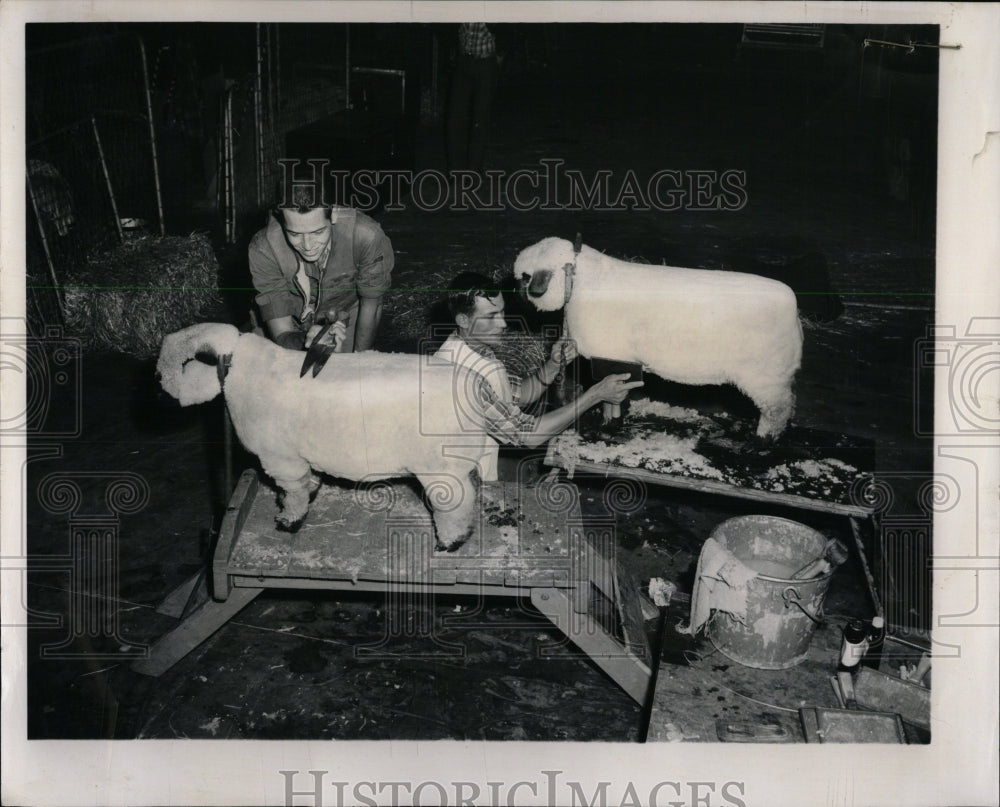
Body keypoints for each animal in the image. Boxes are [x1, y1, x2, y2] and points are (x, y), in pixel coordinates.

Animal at [155, 322, 492, 548]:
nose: (158, 382)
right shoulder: (300, 455)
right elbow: (305, 482)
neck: (242, 371)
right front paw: (308, 493)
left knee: (456, 504)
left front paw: (289, 520)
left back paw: (451, 540)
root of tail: (477, 385)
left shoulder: (280, 457)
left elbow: (293, 492)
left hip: (441, 467)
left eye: (176, 363)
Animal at [516, 237, 804, 438]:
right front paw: (613, 421)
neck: (583, 282)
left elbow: (609, 397)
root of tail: (794, 312)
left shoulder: (610, 355)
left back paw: (763, 440)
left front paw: (609, 424)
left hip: (765, 374)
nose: (522, 294)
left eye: (526, 277)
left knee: (778, 409)